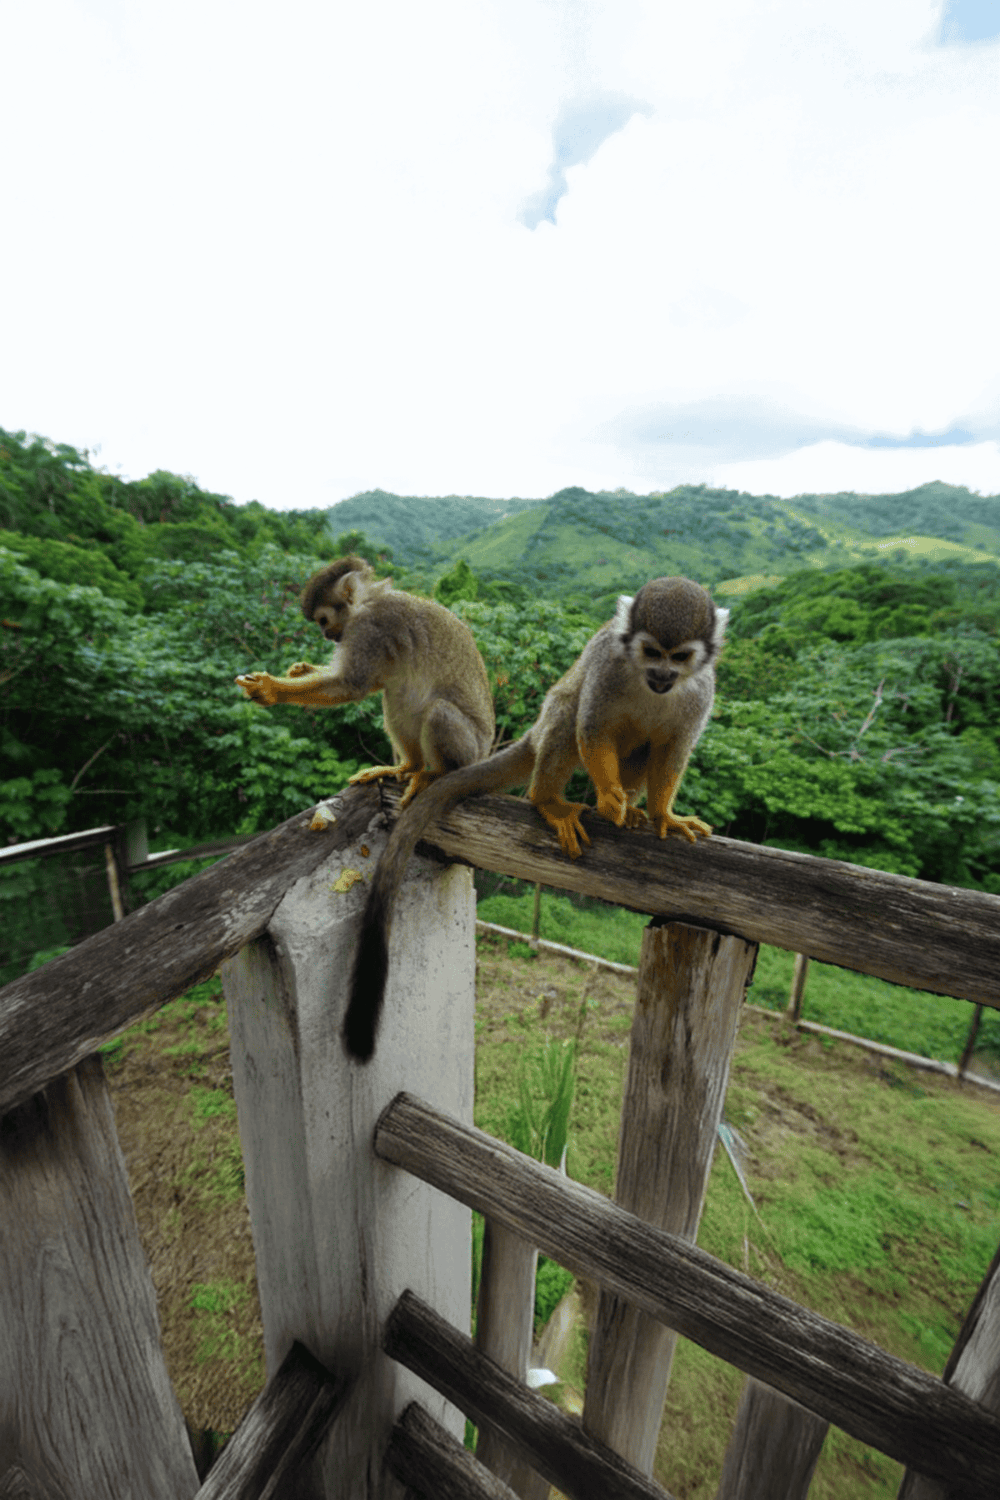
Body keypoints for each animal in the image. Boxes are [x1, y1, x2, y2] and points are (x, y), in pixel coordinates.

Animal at [235, 555, 495, 810]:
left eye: (323, 620)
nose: (326, 635)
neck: (364, 603)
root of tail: (484, 754)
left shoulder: (368, 629)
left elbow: (351, 685)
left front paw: (272, 689)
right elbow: (374, 682)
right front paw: (304, 669)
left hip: (470, 750)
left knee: (438, 711)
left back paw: (439, 773)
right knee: (397, 694)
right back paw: (410, 766)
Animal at [343, 575, 728, 1061]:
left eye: (679, 657)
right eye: (651, 651)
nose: (663, 677)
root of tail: (534, 729)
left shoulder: (700, 690)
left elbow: (674, 749)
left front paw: (662, 813)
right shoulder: (609, 665)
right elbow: (591, 726)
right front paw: (609, 797)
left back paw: (635, 808)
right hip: (550, 720)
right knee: (567, 711)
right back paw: (548, 800)